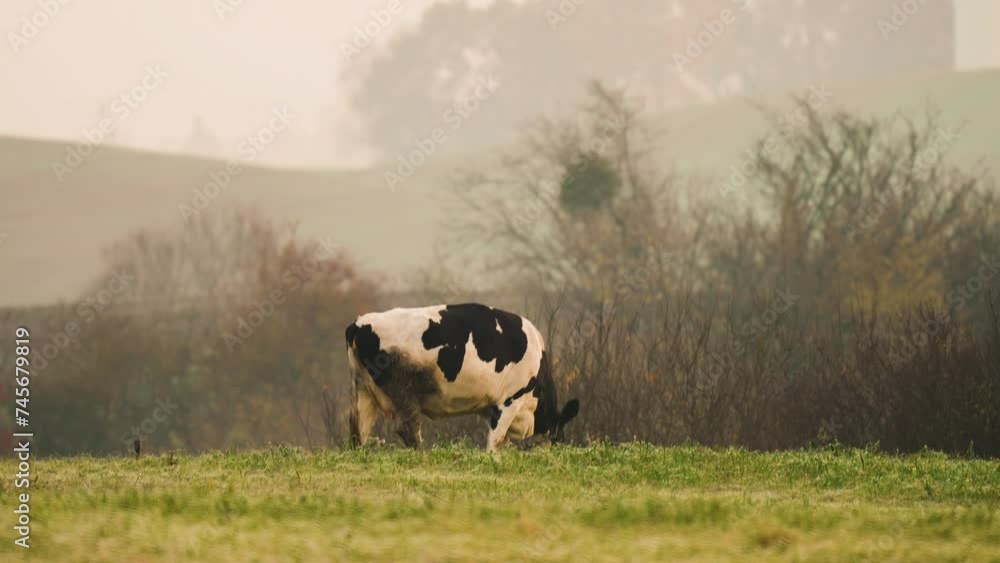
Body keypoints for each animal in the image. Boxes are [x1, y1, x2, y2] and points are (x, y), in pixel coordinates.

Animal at [344, 303, 579, 452]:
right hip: (403, 390)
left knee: (358, 432)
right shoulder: (511, 399)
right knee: (408, 429)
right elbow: (495, 441)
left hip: (363, 391)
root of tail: (359, 322)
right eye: (559, 436)